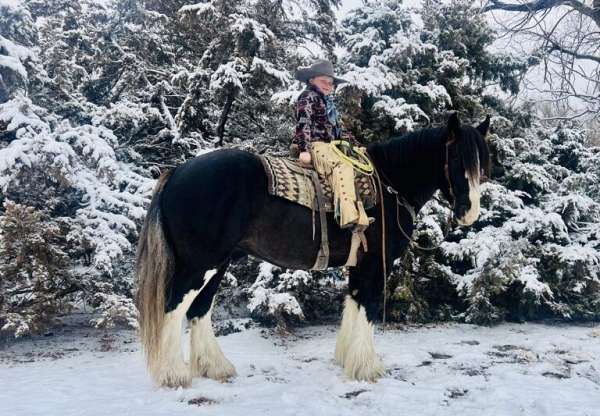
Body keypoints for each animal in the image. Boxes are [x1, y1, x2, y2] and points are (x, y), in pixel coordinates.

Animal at [137, 113, 492, 386]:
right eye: (456, 158)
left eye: (483, 162)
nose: (469, 212)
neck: (390, 184)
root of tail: (177, 172)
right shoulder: (376, 263)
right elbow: (369, 307)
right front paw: (368, 368)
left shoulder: (359, 264)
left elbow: (354, 303)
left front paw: (348, 360)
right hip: (200, 264)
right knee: (174, 308)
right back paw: (173, 374)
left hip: (218, 264)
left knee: (199, 309)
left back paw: (215, 367)